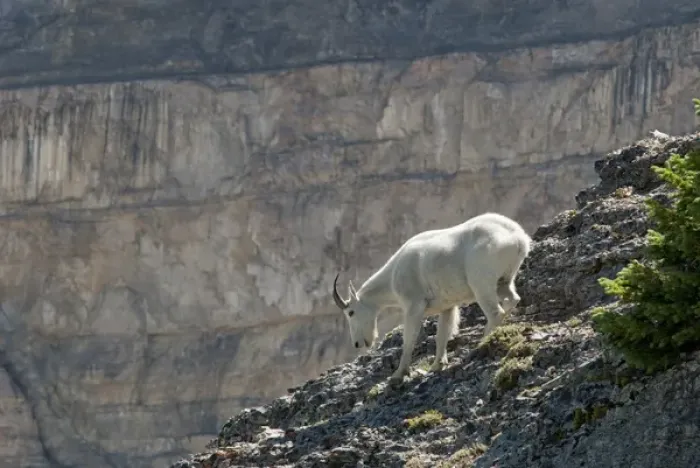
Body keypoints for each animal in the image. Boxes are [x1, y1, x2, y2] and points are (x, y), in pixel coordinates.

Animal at [332, 212, 532, 383]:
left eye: (350, 312)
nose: (357, 343)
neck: (393, 274)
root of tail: (518, 238)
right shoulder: (447, 306)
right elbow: (441, 334)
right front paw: (437, 365)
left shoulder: (414, 305)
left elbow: (409, 339)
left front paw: (398, 374)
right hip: (504, 281)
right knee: (512, 299)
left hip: (481, 282)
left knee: (495, 312)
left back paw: (483, 341)